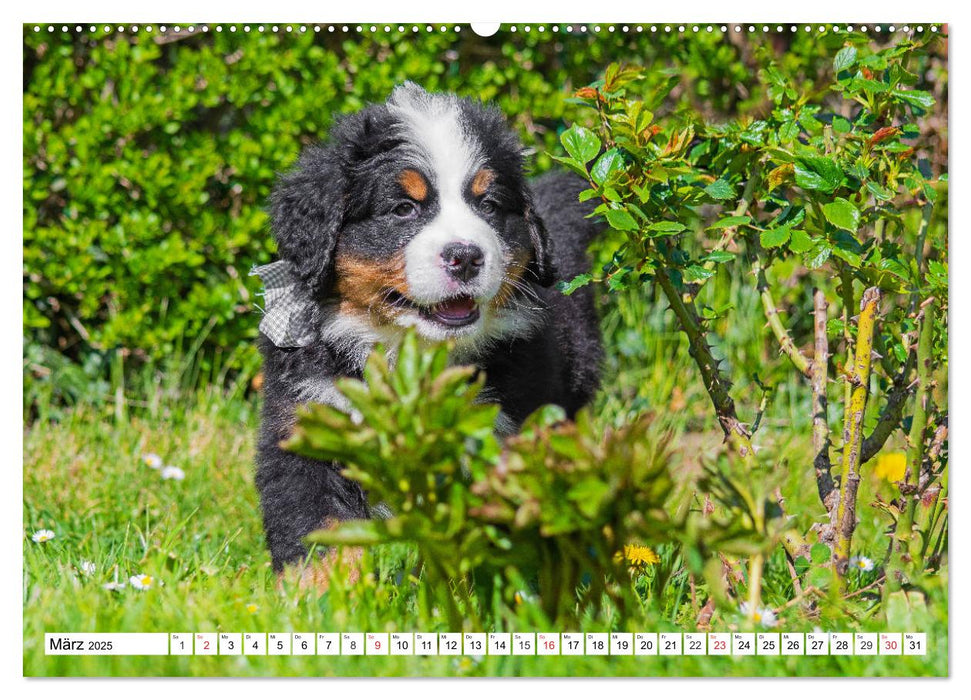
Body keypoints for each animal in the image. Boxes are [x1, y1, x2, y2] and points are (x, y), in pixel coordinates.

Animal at [256, 83, 608, 576]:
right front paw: (325, 592)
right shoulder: (311, 424)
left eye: (489, 205)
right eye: (404, 209)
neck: (408, 353)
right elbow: (318, 532)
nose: (465, 256)